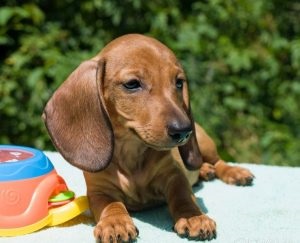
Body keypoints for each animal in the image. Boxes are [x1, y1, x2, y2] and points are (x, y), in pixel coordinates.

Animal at [42, 33, 253, 241]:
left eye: (178, 82)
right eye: (132, 84)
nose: (184, 130)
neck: (131, 152)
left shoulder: (174, 175)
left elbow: (183, 195)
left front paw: (193, 217)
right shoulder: (99, 190)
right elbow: (111, 205)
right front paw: (115, 222)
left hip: (204, 144)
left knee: (218, 161)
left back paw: (234, 172)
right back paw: (205, 171)